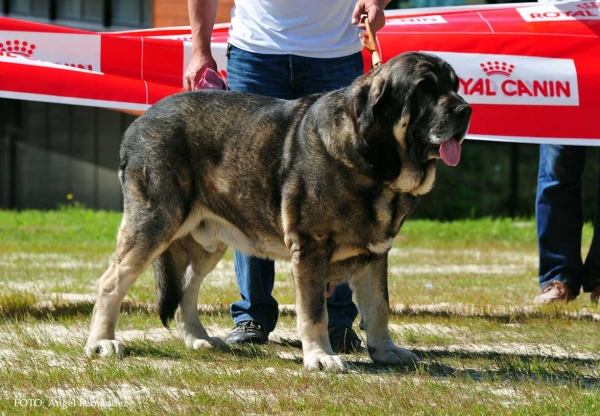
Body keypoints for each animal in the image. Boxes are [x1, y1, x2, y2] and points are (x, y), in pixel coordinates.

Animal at [84, 51, 472, 370]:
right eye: (425, 89)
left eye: (454, 86)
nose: (466, 110)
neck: (373, 158)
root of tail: (139, 122)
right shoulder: (311, 249)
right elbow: (314, 312)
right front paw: (320, 357)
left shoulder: (375, 254)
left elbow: (379, 308)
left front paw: (386, 350)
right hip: (155, 225)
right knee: (112, 282)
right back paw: (102, 342)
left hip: (209, 241)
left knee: (186, 290)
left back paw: (198, 339)